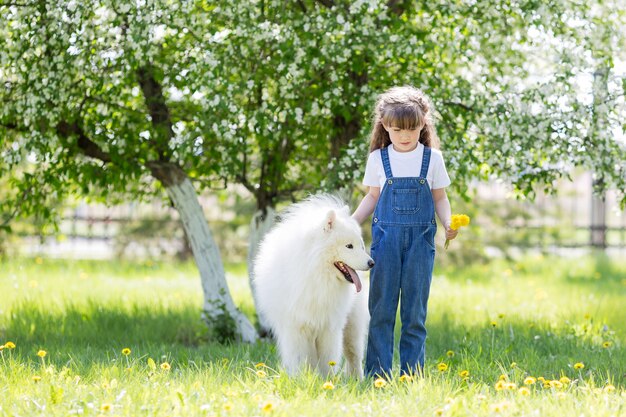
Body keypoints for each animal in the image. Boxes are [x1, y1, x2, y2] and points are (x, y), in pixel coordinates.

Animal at [252, 195, 370, 376]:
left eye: (361, 246)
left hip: (352, 326)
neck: (317, 275)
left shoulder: (330, 327)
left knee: (354, 356)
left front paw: (329, 379)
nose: (372, 263)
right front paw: (302, 379)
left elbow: (329, 360)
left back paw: (357, 379)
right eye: (349, 246)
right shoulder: (297, 328)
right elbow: (301, 360)